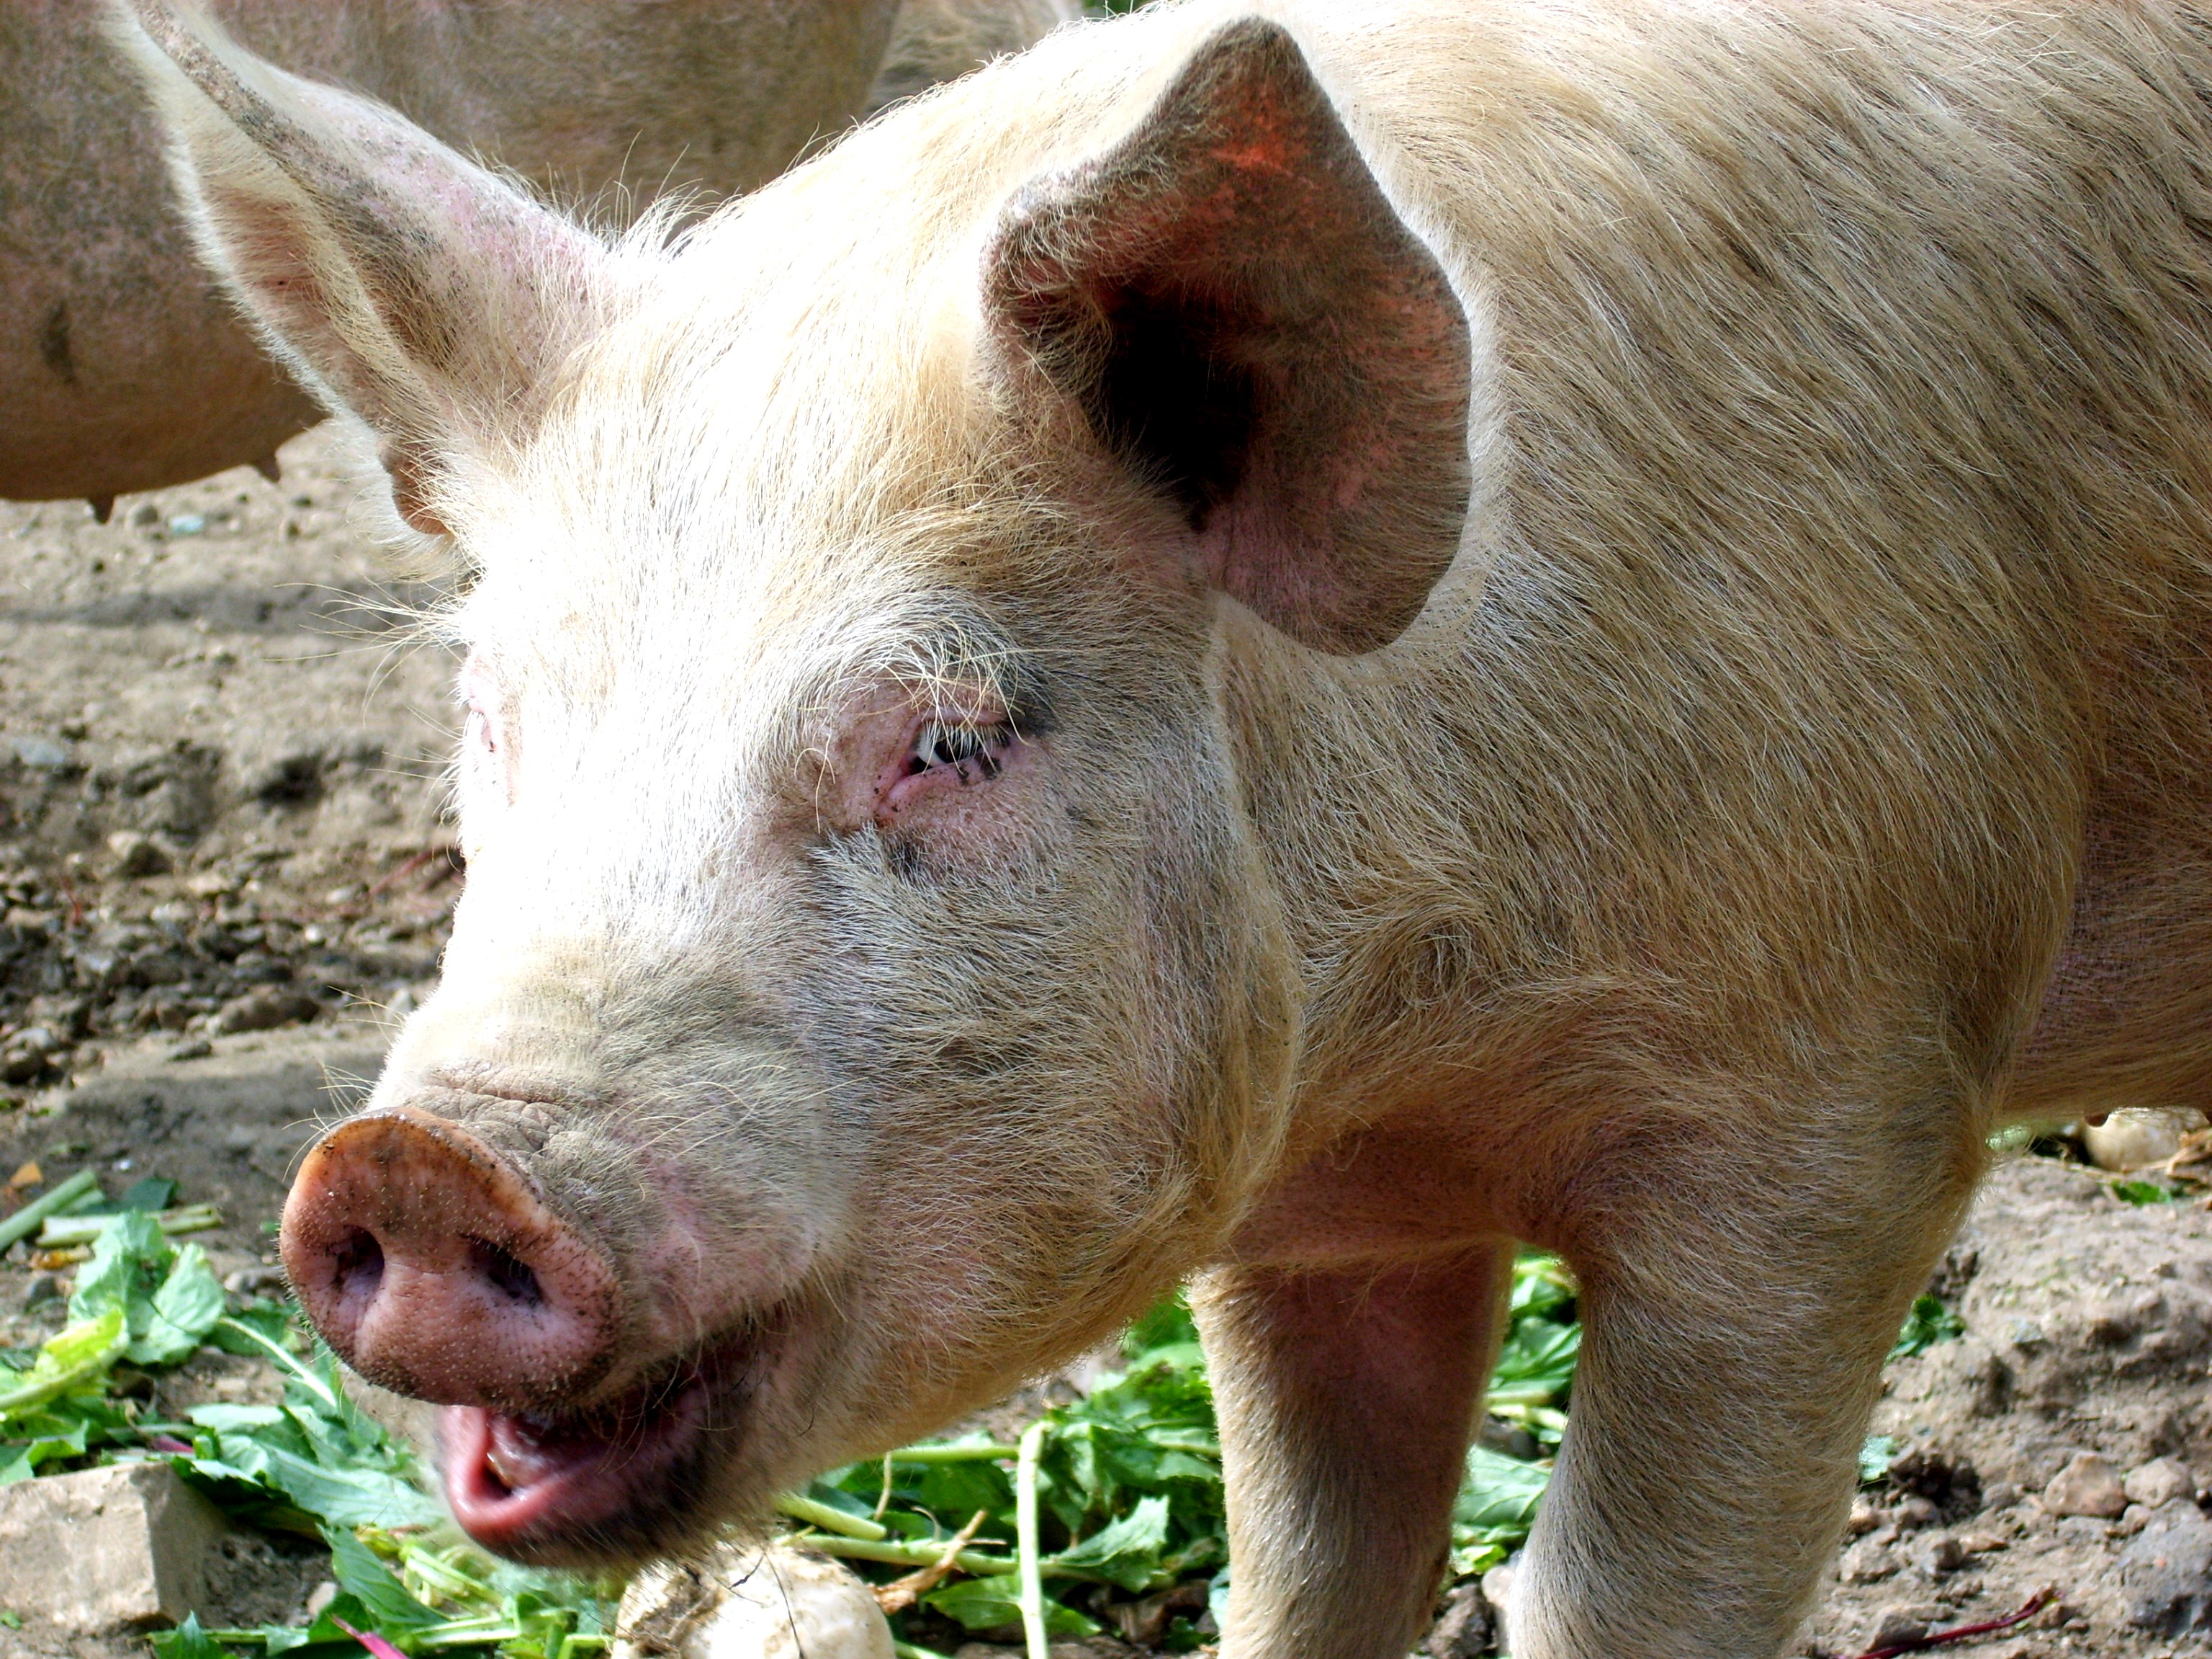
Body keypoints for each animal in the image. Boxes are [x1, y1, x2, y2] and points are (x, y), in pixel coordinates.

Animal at [112, 3, 2212, 1659]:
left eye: (949, 739)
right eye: (495, 716)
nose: (421, 1163)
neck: (1415, 1054)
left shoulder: (1847, 1114)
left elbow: (1621, 1594)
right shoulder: (1325, 1230)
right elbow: (1301, 1563)